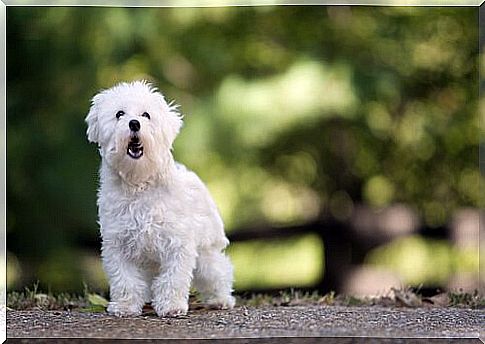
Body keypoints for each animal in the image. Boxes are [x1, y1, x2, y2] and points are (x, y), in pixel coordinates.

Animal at [86, 80, 235, 318]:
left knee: (218, 271)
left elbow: (173, 279)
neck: (140, 182)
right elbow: (125, 279)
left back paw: (220, 300)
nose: (134, 123)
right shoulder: (118, 244)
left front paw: (172, 306)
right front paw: (125, 307)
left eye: (146, 115)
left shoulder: (177, 244)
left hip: (206, 252)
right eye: (119, 114)